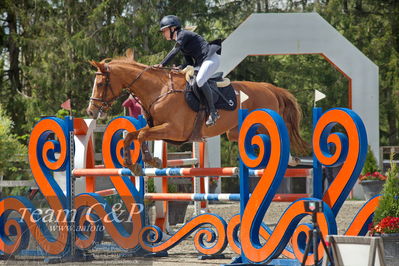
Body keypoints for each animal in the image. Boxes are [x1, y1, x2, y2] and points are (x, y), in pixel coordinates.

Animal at [87, 50, 306, 175]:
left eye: (100, 84)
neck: (159, 90)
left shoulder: (175, 130)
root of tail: (269, 88)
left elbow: (141, 134)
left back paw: (290, 159)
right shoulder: (159, 128)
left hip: (262, 122)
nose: (91, 110)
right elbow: (131, 135)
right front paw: (133, 165)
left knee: (277, 138)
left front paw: (152, 161)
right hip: (235, 132)